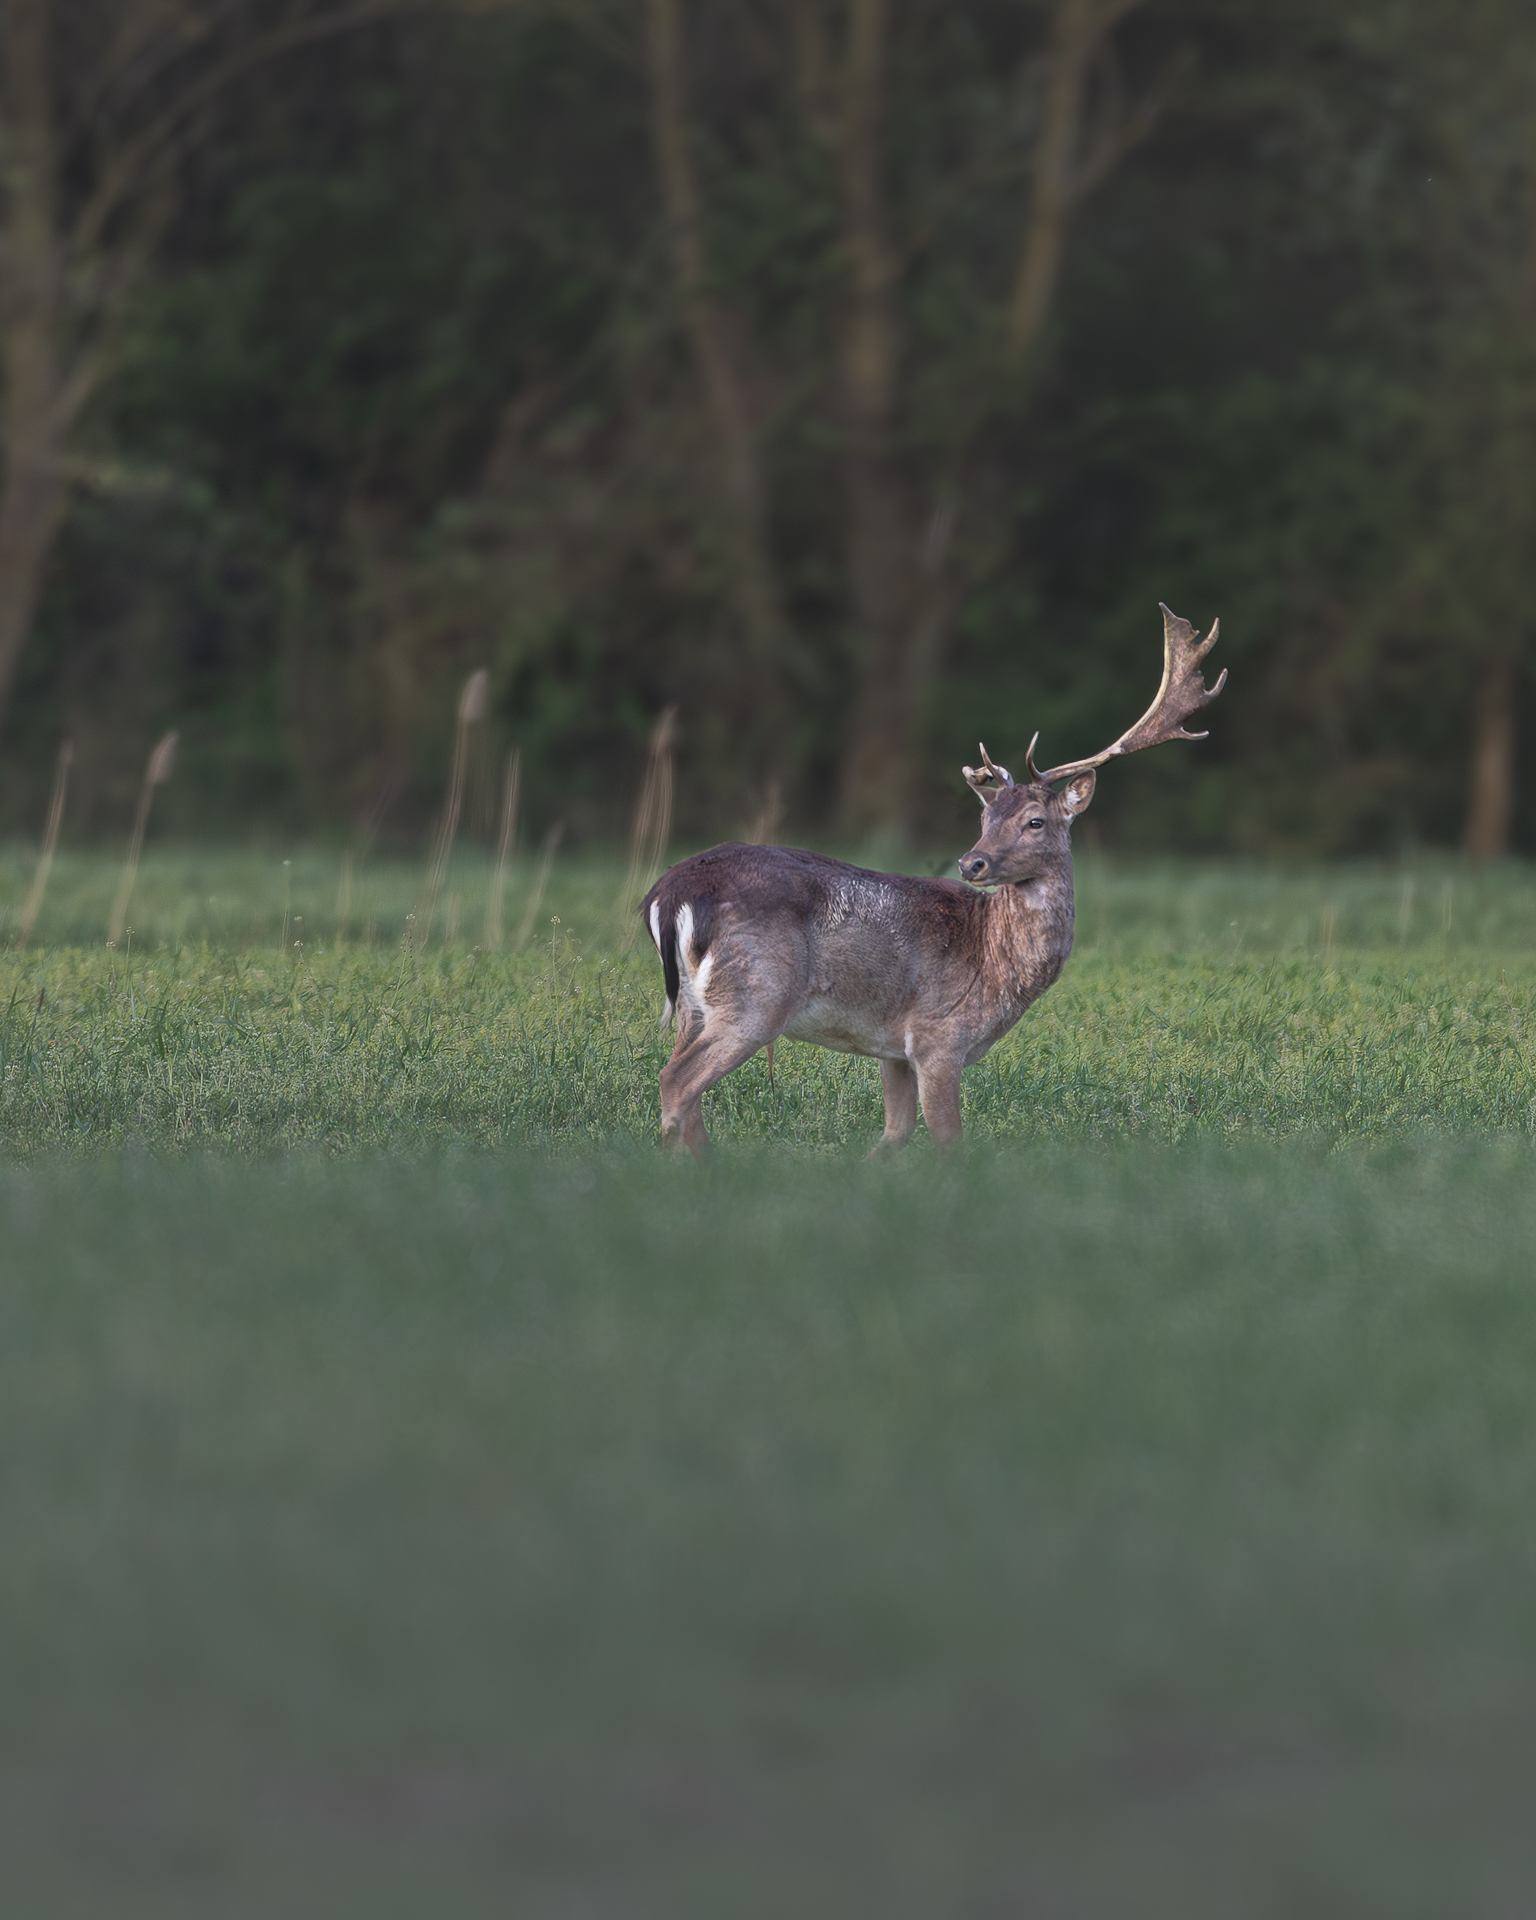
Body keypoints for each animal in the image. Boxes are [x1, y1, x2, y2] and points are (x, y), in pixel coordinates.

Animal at [642, 604, 1225, 1157]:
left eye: (1034, 821)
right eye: (986, 817)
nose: (972, 863)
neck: (995, 965)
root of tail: (668, 894)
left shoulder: (892, 1048)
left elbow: (893, 1135)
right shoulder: (939, 1037)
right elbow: (948, 1142)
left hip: (695, 1005)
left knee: (684, 1086)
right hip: (756, 995)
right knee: (677, 1082)